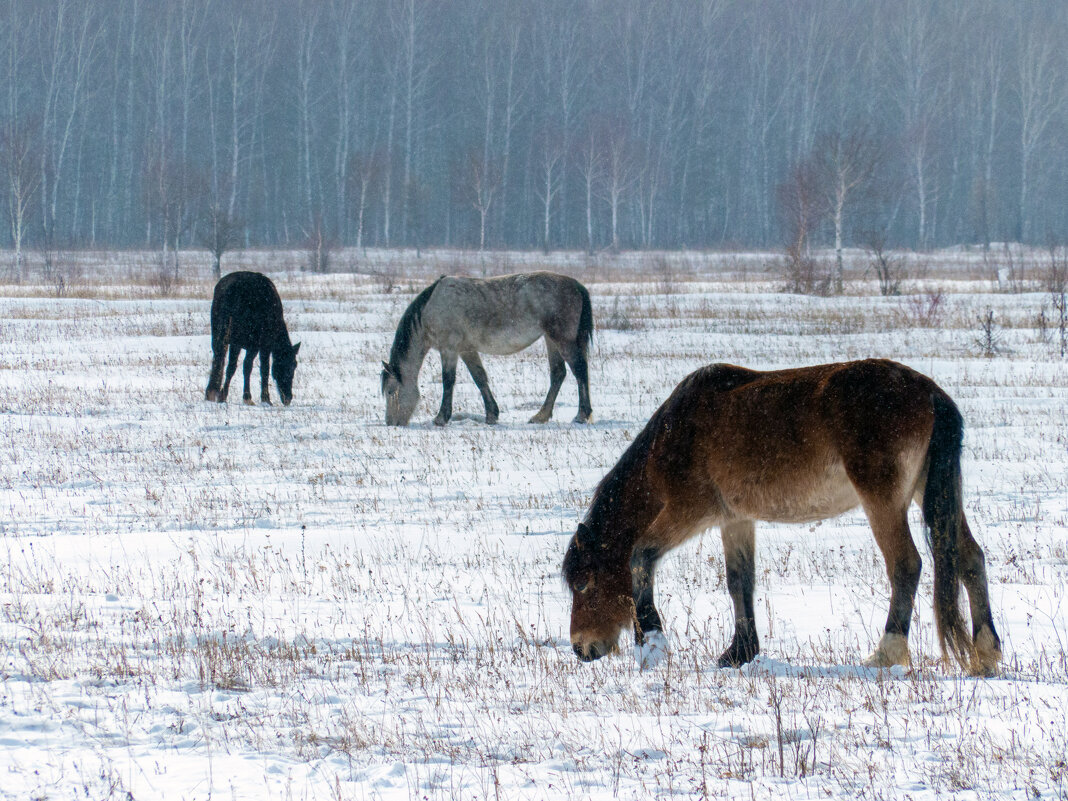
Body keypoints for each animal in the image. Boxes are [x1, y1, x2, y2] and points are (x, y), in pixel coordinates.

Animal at [202, 273, 301, 407]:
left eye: (295, 365)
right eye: (290, 365)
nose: (288, 398)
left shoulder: (253, 346)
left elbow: (247, 368)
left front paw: (247, 397)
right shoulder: (263, 345)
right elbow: (263, 369)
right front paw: (264, 398)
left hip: (220, 337)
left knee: (219, 362)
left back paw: (212, 393)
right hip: (236, 341)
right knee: (230, 366)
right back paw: (221, 395)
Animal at [382, 273, 602, 427]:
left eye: (391, 391)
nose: (392, 423)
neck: (432, 307)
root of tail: (576, 285)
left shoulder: (449, 349)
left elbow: (448, 381)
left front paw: (441, 418)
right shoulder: (466, 350)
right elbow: (479, 378)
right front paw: (491, 415)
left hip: (563, 339)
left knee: (579, 371)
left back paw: (581, 415)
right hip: (551, 340)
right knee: (558, 374)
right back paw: (541, 416)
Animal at [563, 360, 1003, 679]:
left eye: (584, 583)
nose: (580, 648)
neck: (674, 436)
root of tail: (932, 394)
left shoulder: (687, 512)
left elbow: (640, 555)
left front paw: (651, 641)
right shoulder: (735, 520)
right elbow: (739, 582)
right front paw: (739, 652)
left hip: (884, 501)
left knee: (906, 565)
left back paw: (886, 653)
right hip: (933, 492)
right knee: (970, 559)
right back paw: (986, 654)